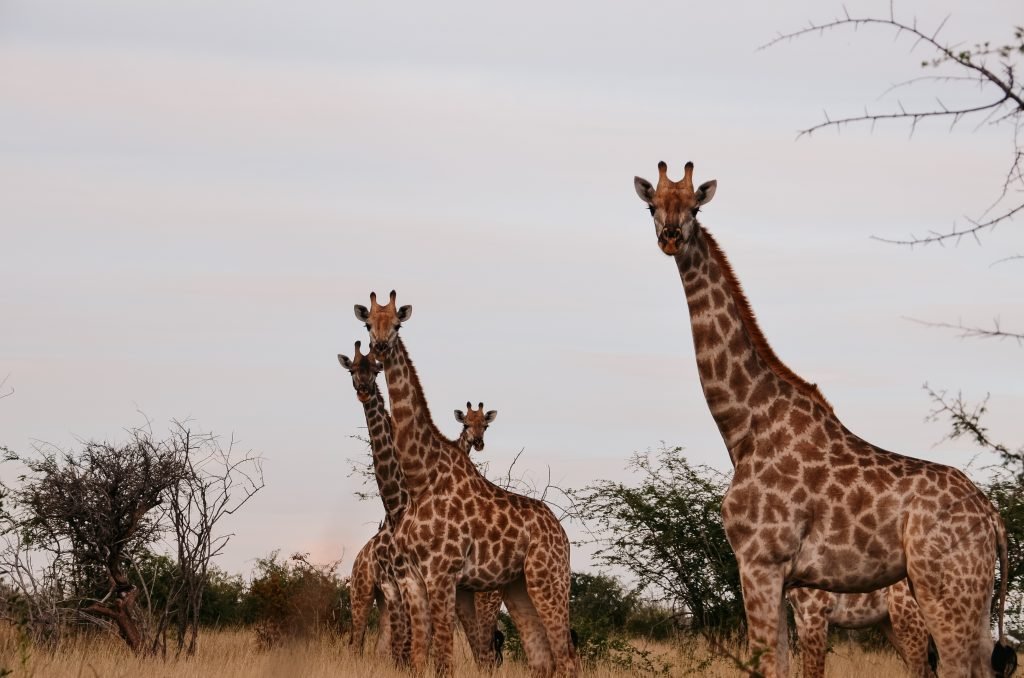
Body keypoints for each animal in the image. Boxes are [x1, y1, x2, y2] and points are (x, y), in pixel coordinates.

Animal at [354, 291, 576, 678]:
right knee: (541, 659)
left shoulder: (442, 576)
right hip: (517, 586)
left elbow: (443, 659)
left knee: (566, 657)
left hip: (548, 579)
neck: (420, 478)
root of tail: (561, 533)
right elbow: (417, 658)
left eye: (397, 324)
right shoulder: (413, 580)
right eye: (368, 324)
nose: (380, 346)